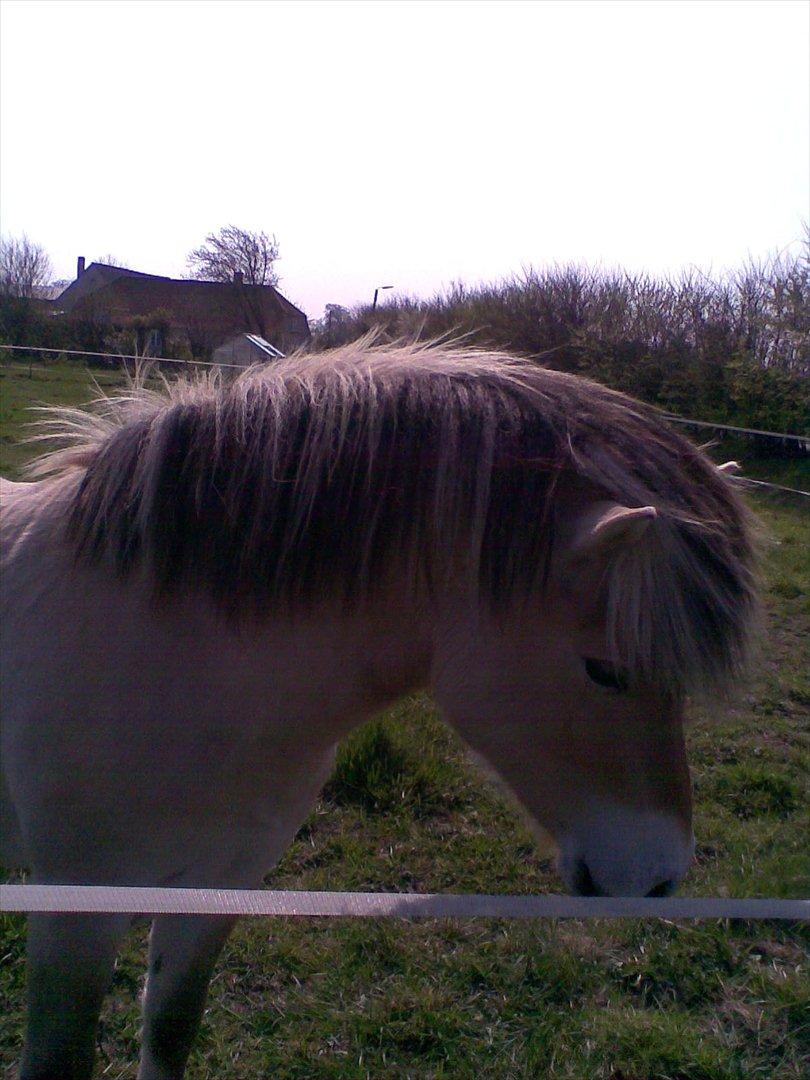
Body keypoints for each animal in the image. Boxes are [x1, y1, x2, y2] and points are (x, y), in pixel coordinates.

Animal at [1, 341, 760, 1080]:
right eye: (605, 670)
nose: (657, 879)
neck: (177, 667)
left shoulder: (217, 891)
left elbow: (170, 1033)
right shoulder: (74, 910)